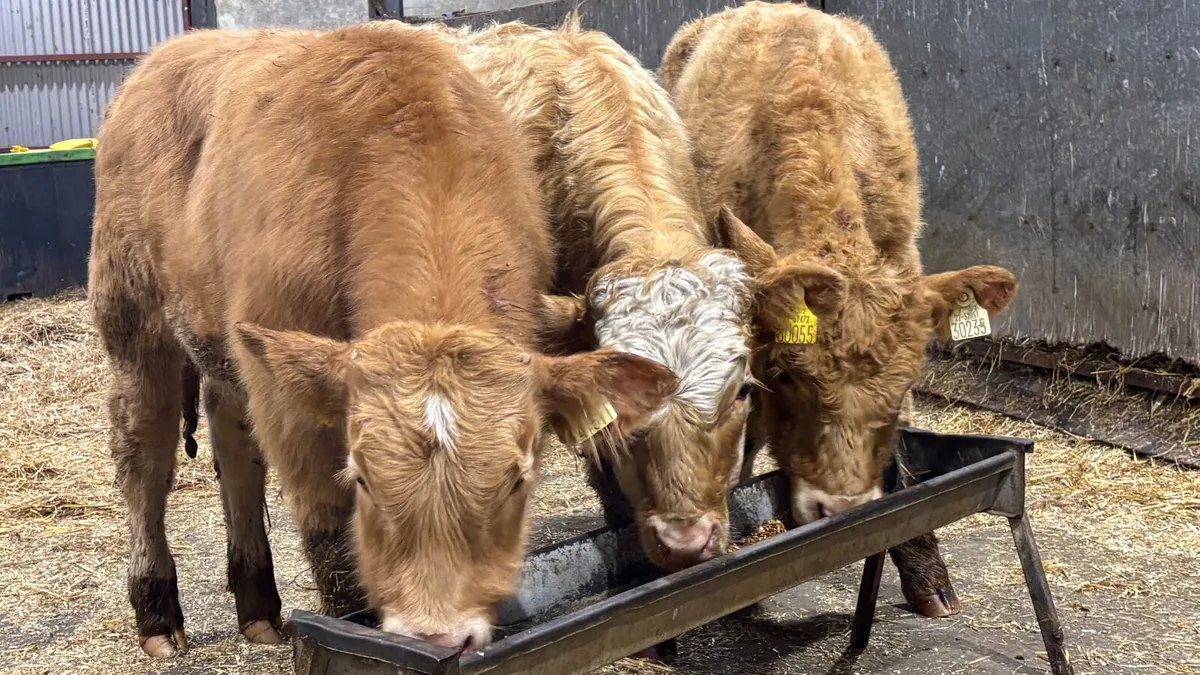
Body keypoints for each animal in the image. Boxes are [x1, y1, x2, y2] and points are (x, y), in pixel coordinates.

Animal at [89, 24, 676, 657]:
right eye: (363, 479)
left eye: (518, 480)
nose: (437, 634)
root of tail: (169, 52)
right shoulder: (295, 416)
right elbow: (332, 541)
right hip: (134, 325)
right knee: (144, 456)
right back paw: (157, 615)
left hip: (223, 349)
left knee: (234, 447)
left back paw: (258, 608)